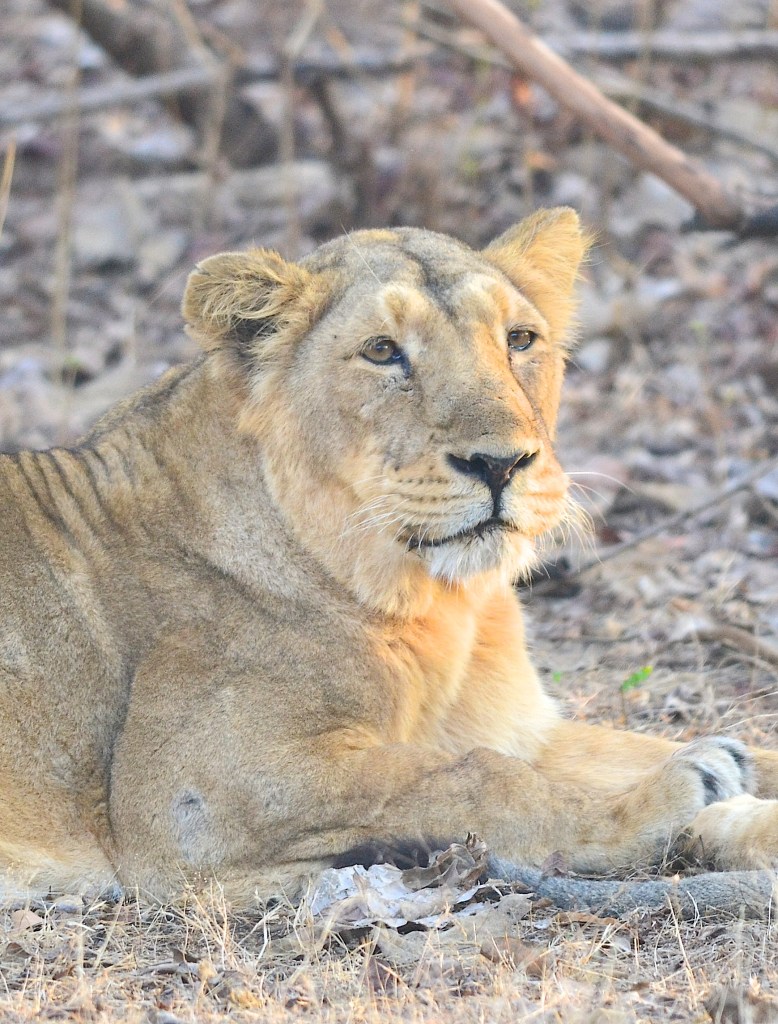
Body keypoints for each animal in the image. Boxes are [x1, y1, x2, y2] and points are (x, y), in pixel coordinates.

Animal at [1, 207, 777, 906]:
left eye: (520, 338)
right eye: (382, 351)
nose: (501, 464)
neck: (436, 602)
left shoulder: (522, 727)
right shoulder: (188, 792)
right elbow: (473, 779)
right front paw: (671, 794)